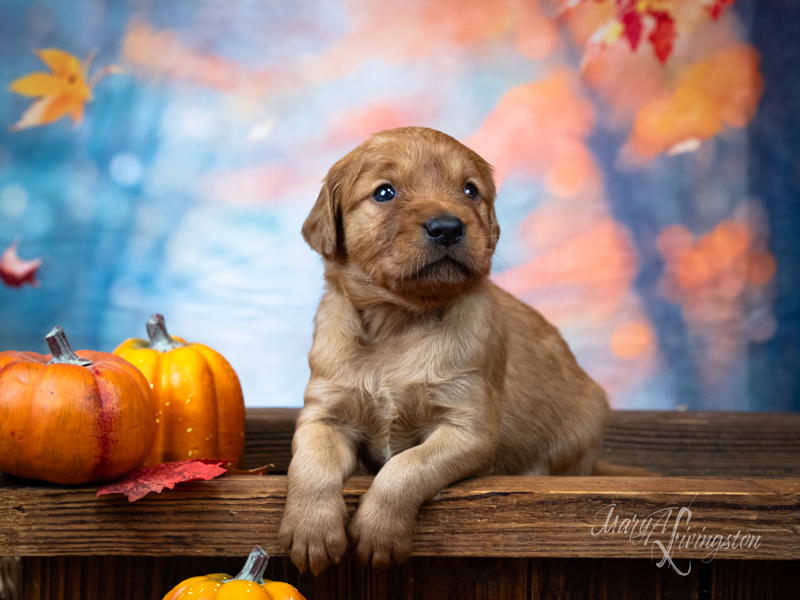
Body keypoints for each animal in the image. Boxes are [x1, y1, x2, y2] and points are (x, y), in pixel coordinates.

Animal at [278, 125, 608, 572]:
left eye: (470, 190)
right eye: (384, 192)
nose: (448, 227)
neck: (400, 323)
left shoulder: (467, 429)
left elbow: (406, 468)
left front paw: (379, 532)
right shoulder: (324, 415)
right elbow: (310, 466)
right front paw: (311, 530)